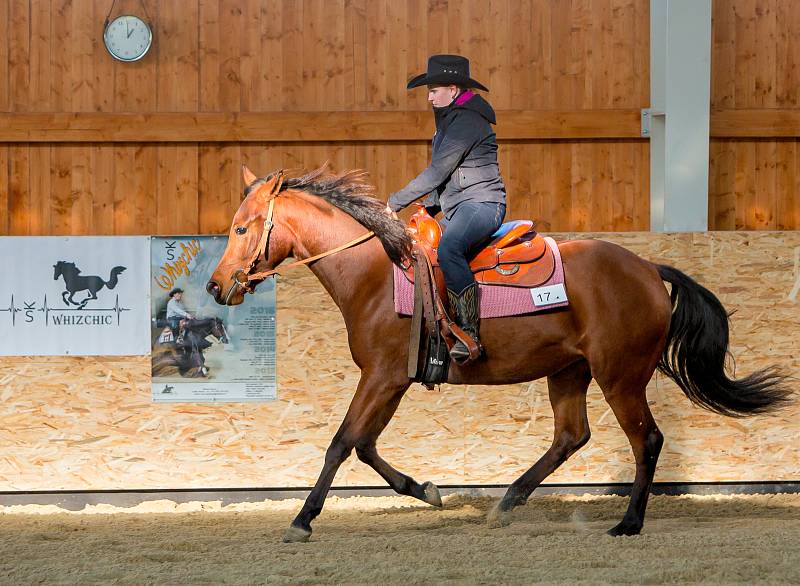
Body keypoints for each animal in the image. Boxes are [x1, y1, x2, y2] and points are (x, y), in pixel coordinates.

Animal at [205, 165, 788, 544]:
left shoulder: (380, 377)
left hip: (619, 377)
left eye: (241, 227)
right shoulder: (393, 379)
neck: (376, 271)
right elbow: (366, 446)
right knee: (571, 436)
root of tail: (647, 268)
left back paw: (628, 523)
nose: (215, 286)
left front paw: (303, 519)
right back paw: (508, 502)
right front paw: (426, 490)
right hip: (569, 372)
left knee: (646, 440)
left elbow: (341, 443)